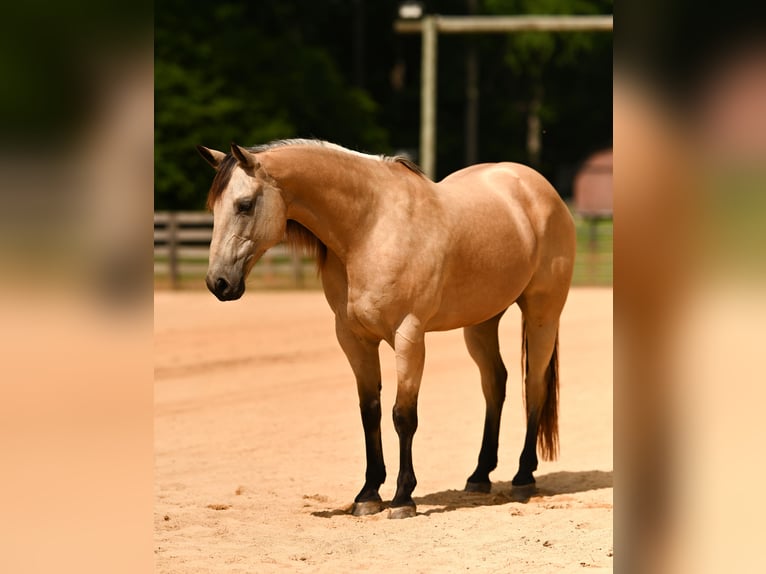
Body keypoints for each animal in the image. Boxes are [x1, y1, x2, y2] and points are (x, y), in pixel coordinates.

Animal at [197, 139, 575, 518]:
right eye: (214, 207)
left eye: (244, 205)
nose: (219, 283)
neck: (370, 229)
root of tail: (539, 188)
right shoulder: (354, 338)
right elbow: (370, 411)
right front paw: (368, 494)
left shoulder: (408, 336)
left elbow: (402, 415)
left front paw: (402, 497)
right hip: (482, 322)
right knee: (495, 384)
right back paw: (479, 476)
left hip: (543, 314)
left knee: (535, 386)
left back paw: (524, 477)